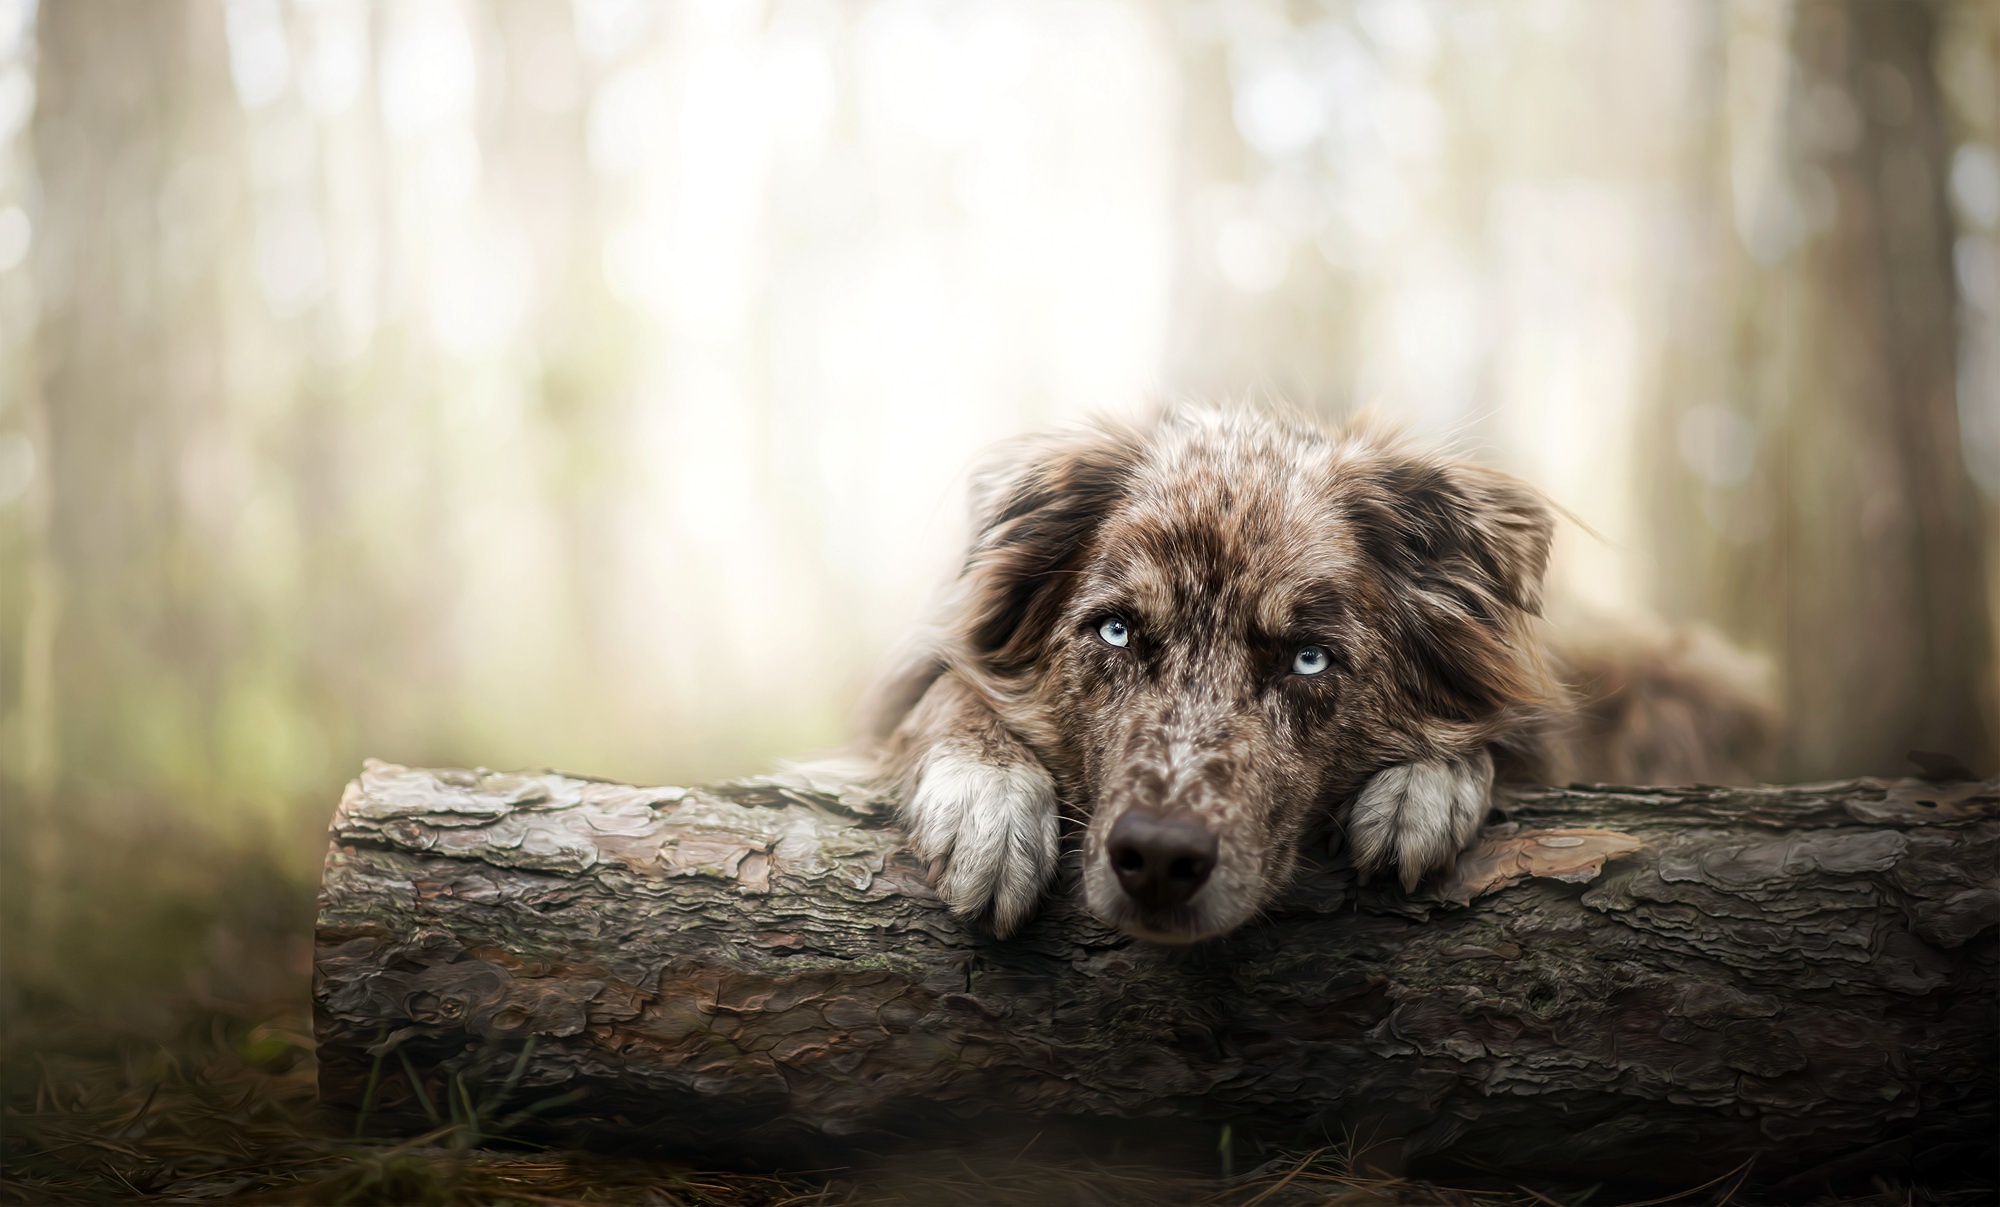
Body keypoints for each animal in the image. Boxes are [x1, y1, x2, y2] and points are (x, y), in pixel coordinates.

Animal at [860, 409, 1768, 947]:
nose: (1157, 858)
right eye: (1115, 630)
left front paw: (1424, 785)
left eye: (1308, 657)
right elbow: (948, 688)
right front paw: (985, 797)